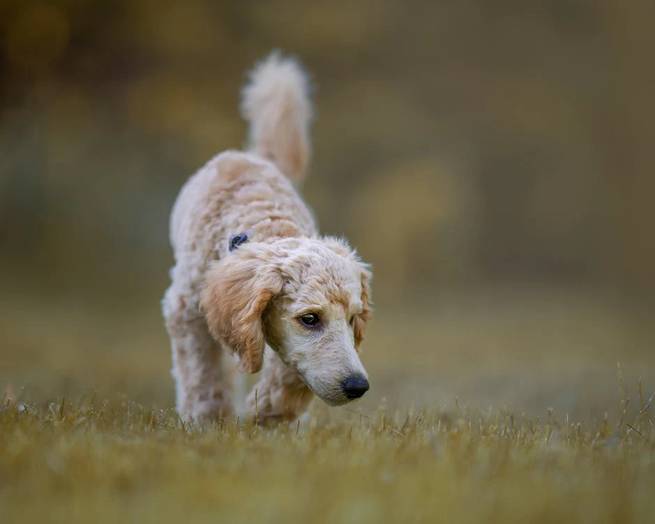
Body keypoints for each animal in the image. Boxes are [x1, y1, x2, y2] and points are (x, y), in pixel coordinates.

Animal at [161, 52, 372, 422]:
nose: (357, 386)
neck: (263, 222)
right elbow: (203, 375)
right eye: (310, 319)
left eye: (351, 319)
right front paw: (207, 421)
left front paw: (271, 415)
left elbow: (291, 371)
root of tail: (257, 156)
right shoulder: (186, 310)